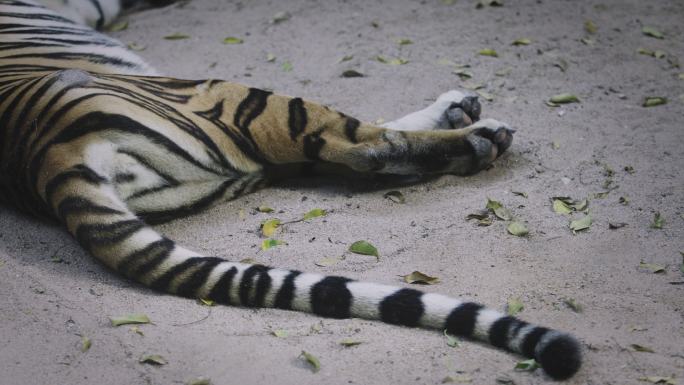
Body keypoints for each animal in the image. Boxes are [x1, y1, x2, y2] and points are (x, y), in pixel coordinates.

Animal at [0, 0, 584, 378]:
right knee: (366, 147)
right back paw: (479, 135)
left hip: (245, 158)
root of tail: (46, 160)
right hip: (237, 97)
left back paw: (461, 113)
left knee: (346, 154)